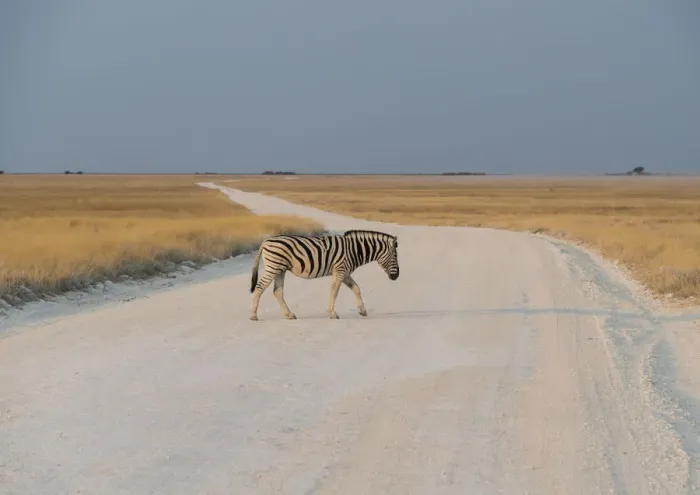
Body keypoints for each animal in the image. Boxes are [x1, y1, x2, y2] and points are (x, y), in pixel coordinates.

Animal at [249, 229, 399, 320]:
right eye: (395, 257)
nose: (396, 276)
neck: (355, 250)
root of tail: (266, 240)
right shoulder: (340, 270)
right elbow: (335, 291)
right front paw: (333, 313)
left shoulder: (345, 273)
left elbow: (356, 288)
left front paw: (362, 311)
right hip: (273, 267)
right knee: (259, 287)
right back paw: (253, 315)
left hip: (280, 269)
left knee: (277, 291)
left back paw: (289, 314)